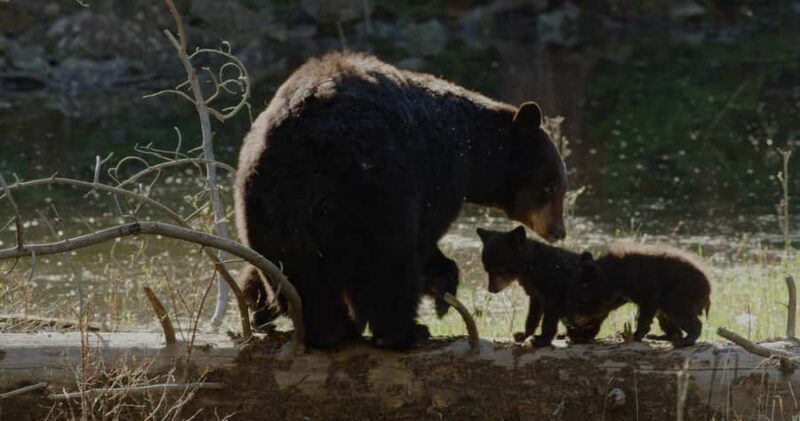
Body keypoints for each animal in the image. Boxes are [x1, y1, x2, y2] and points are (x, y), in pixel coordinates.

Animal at [235, 52, 568, 350]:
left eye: (559, 187)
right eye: (550, 187)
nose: (559, 232)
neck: (474, 150)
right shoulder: (441, 171)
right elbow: (425, 236)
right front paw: (441, 287)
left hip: (267, 205)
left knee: (298, 274)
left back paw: (328, 329)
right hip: (373, 192)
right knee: (388, 264)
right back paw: (402, 332)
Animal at [567, 244, 711, 348]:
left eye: (580, 301)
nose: (571, 325)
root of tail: (708, 289)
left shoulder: (645, 282)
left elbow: (647, 308)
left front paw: (636, 334)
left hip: (680, 291)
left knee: (679, 311)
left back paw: (685, 340)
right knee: (666, 318)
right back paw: (661, 336)